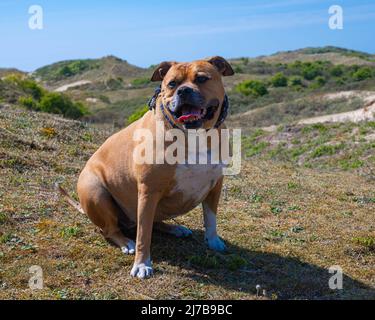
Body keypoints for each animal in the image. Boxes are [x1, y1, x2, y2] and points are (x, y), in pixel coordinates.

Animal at [58, 56, 235, 278]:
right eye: (172, 84)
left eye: (202, 78)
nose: (184, 91)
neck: (192, 136)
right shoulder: (148, 191)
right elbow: (144, 235)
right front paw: (142, 264)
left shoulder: (215, 184)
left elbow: (211, 218)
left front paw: (213, 241)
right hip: (96, 192)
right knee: (111, 229)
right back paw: (126, 242)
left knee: (154, 222)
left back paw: (175, 229)